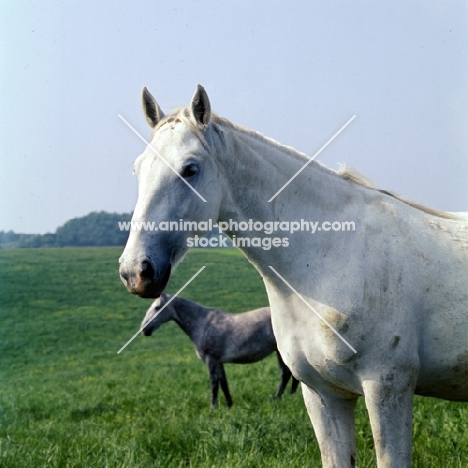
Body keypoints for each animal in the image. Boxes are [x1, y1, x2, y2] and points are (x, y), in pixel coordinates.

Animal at [119, 85, 468, 468]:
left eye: (190, 169)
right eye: (137, 169)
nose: (136, 271)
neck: (330, 260)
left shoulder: (388, 387)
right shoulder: (322, 394)